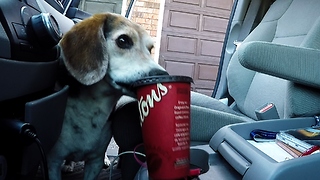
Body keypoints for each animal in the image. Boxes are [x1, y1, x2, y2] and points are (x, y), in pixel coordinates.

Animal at [47, 13, 169, 180]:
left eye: (150, 49)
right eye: (123, 40)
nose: (164, 76)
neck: (92, 107)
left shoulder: (95, 163)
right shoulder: (53, 160)